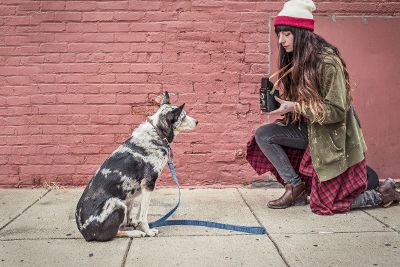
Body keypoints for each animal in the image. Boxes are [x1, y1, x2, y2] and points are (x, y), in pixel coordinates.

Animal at [74, 92, 197, 243]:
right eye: (183, 116)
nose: (197, 121)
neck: (157, 133)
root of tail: (85, 233)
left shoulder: (140, 190)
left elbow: (137, 211)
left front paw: (136, 223)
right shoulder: (148, 185)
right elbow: (143, 214)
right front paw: (148, 231)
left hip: (126, 199)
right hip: (117, 204)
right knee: (113, 233)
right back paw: (136, 233)